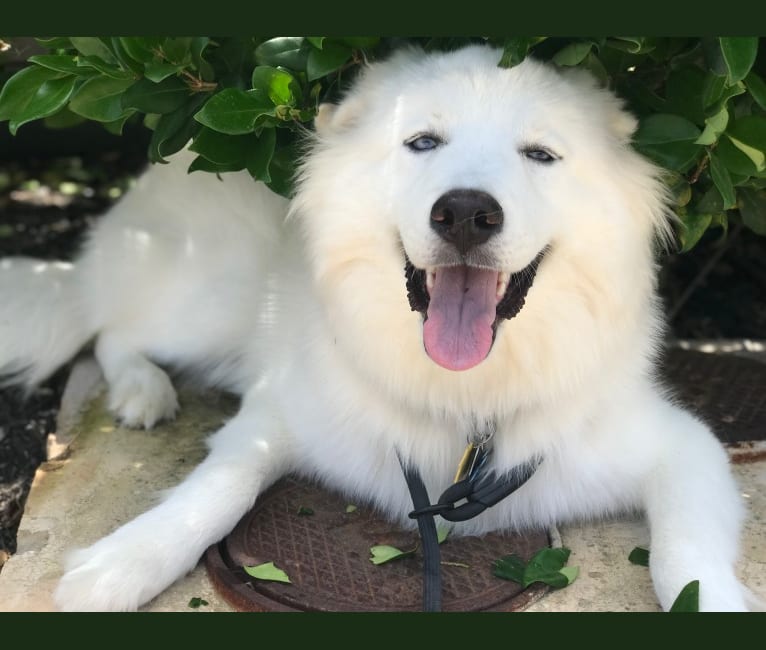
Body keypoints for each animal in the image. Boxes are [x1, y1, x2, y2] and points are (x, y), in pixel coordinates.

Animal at [0, 45, 756, 608]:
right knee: (109, 328)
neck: (466, 397)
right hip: (206, 304)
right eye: (422, 142)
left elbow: (685, 562)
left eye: (541, 154)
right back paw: (142, 391)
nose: (466, 213)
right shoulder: (276, 412)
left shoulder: (683, 448)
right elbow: (215, 491)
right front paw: (122, 563)